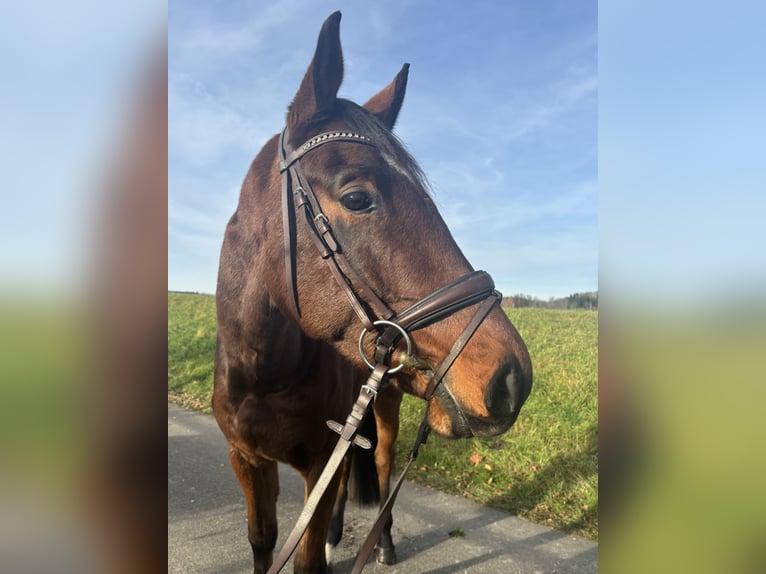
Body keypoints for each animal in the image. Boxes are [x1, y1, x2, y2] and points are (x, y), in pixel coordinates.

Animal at [212, 11, 533, 574]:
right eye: (357, 198)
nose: (512, 379)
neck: (263, 372)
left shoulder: (320, 459)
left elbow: (308, 559)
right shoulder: (246, 459)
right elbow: (262, 539)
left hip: (385, 408)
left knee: (381, 465)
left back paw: (381, 543)